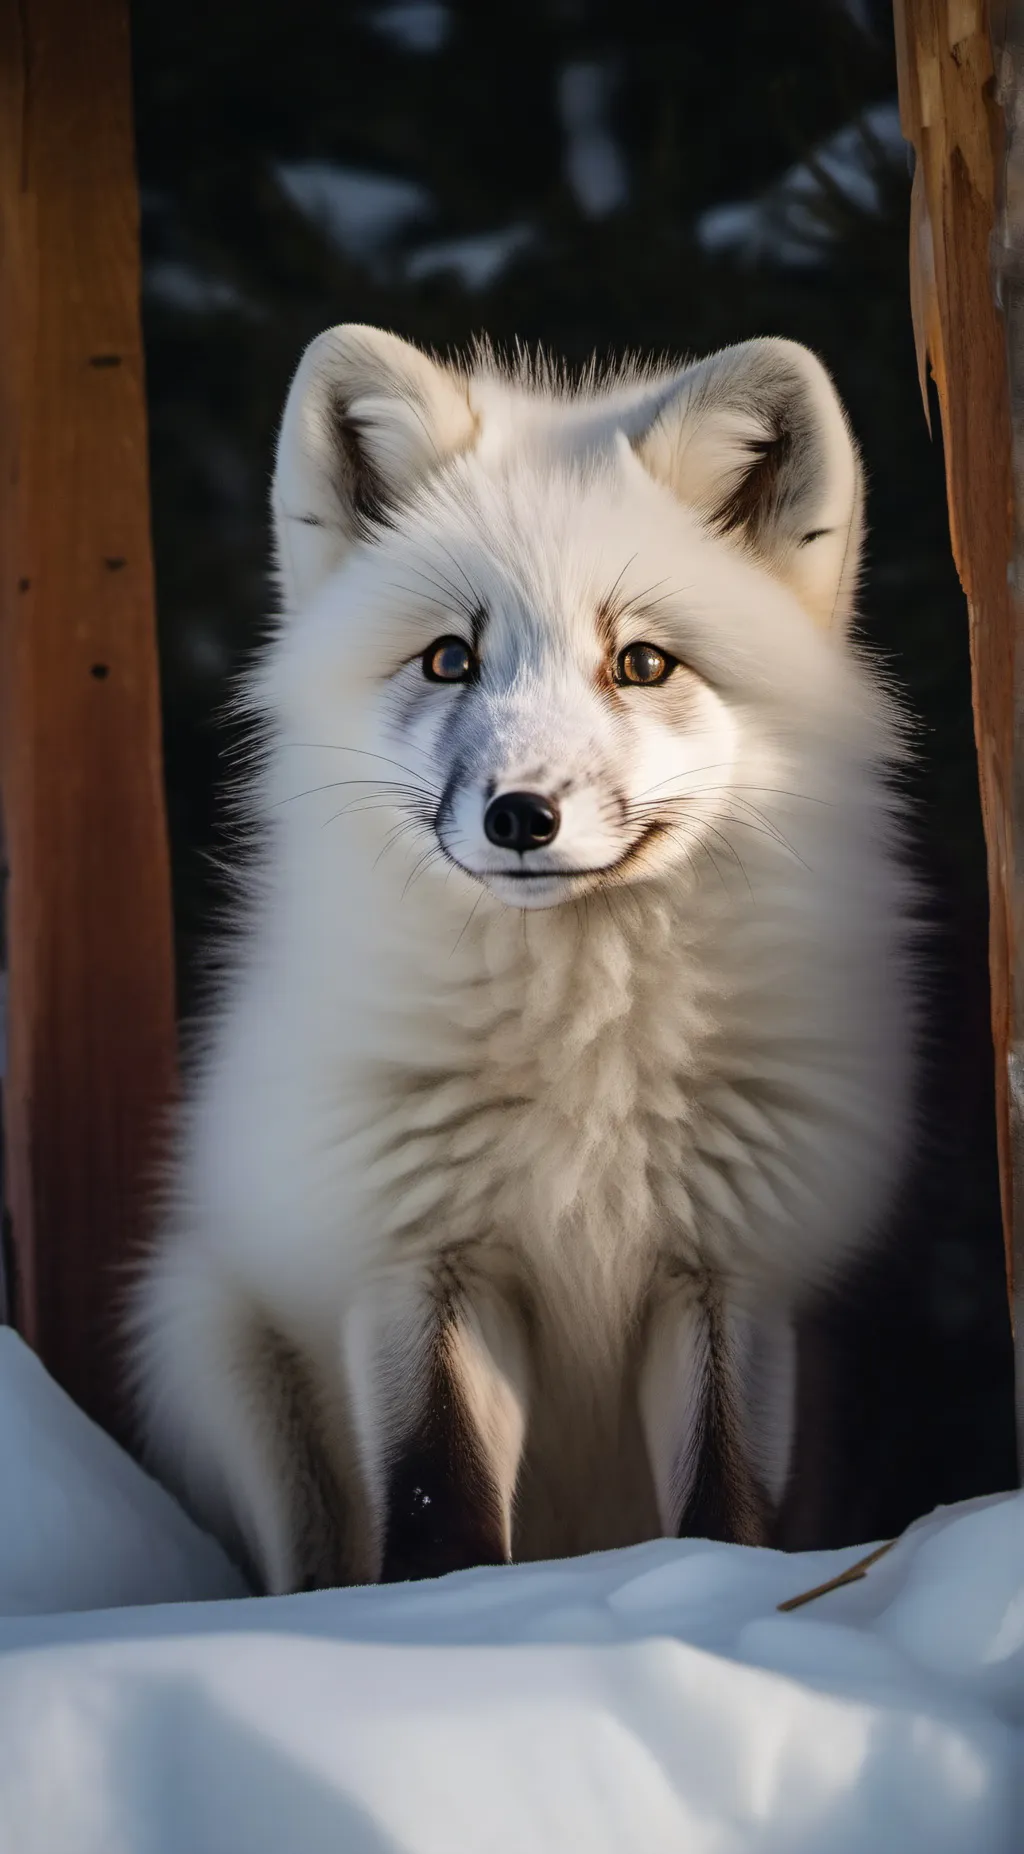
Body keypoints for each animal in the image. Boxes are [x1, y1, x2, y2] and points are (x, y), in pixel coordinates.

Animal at [129, 324, 916, 1594]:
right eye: (451, 659)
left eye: (640, 663)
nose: (520, 816)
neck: (580, 1060)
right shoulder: (419, 1261)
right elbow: (436, 1509)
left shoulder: (728, 1271)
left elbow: (721, 1508)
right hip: (205, 1345)